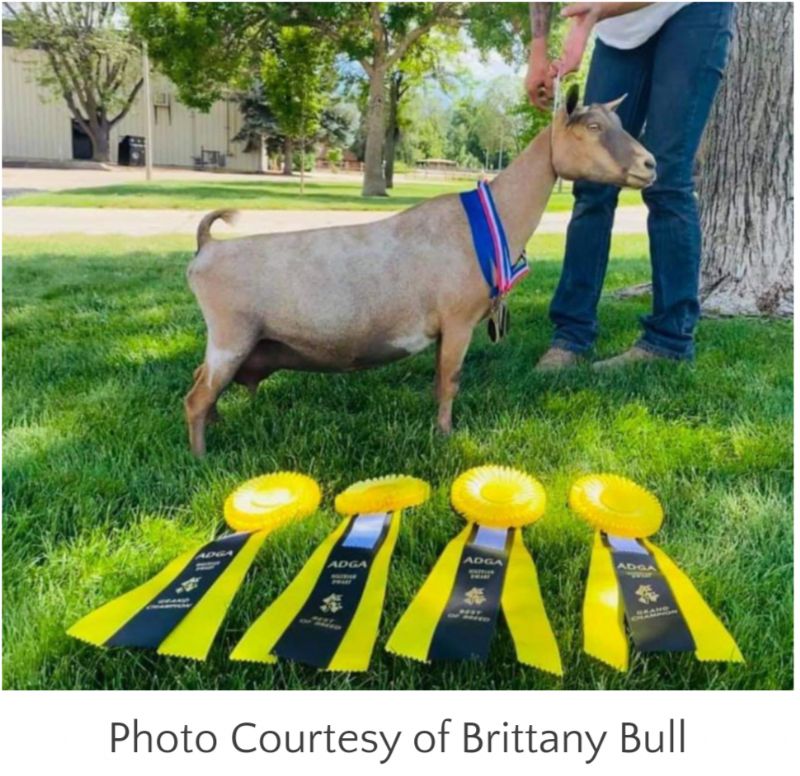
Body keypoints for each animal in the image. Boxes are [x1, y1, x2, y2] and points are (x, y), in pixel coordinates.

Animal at [184, 86, 652, 454]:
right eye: (593, 127)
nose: (650, 165)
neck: (491, 219)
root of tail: (208, 248)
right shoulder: (458, 320)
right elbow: (450, 380)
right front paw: (445, 436)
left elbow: (439, 379)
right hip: (231, 336)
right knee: (196, 397)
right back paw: (203, 458)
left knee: (202, 382)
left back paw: (218, 427)